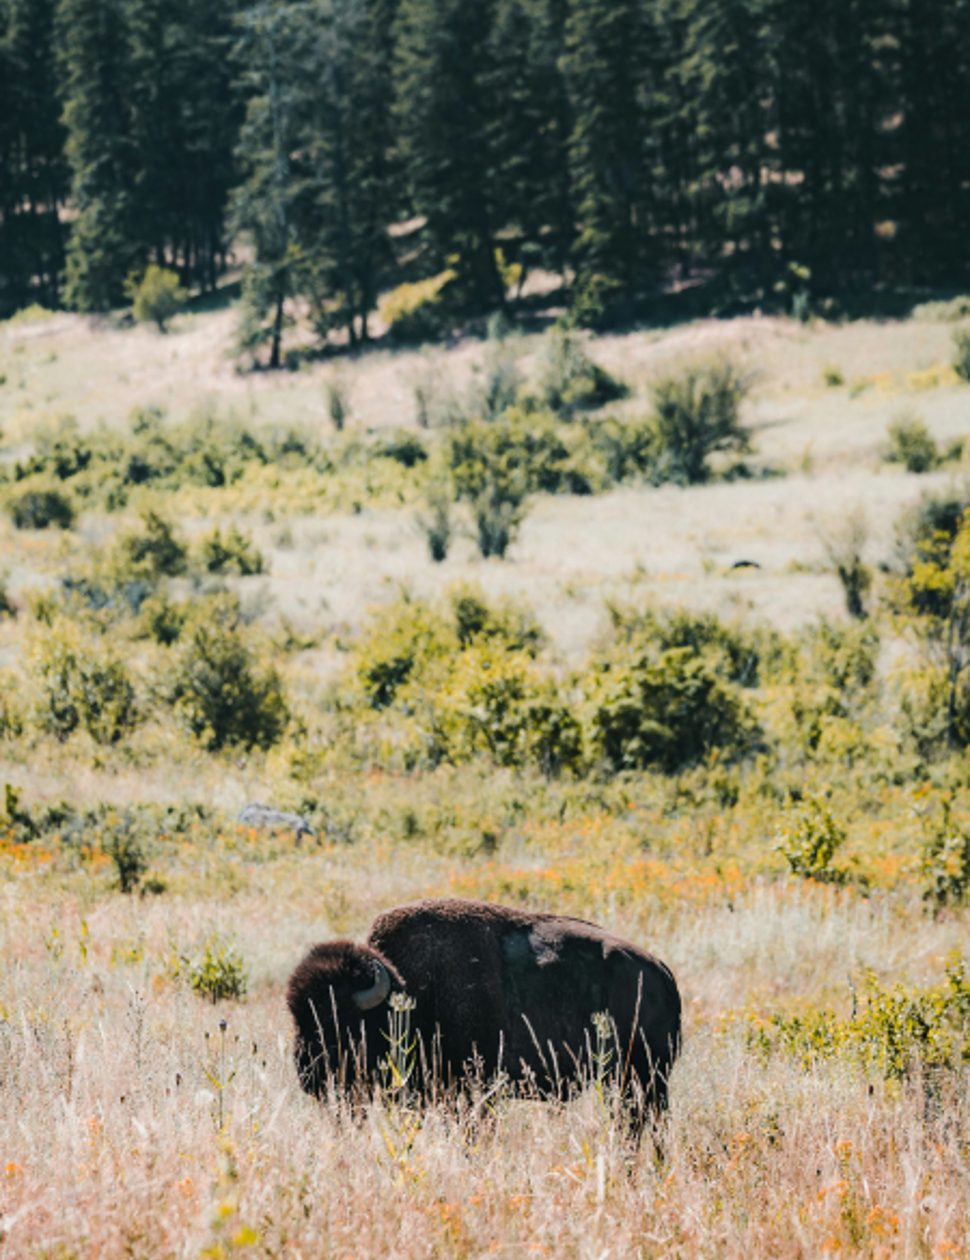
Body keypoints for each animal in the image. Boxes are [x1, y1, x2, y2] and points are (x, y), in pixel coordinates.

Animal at [286, 897, 681, 1125]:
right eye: (297, 1017)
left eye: (340, 1022)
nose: (307, 1076)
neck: (410, 991)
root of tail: (661, 972)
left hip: (646, 1078)